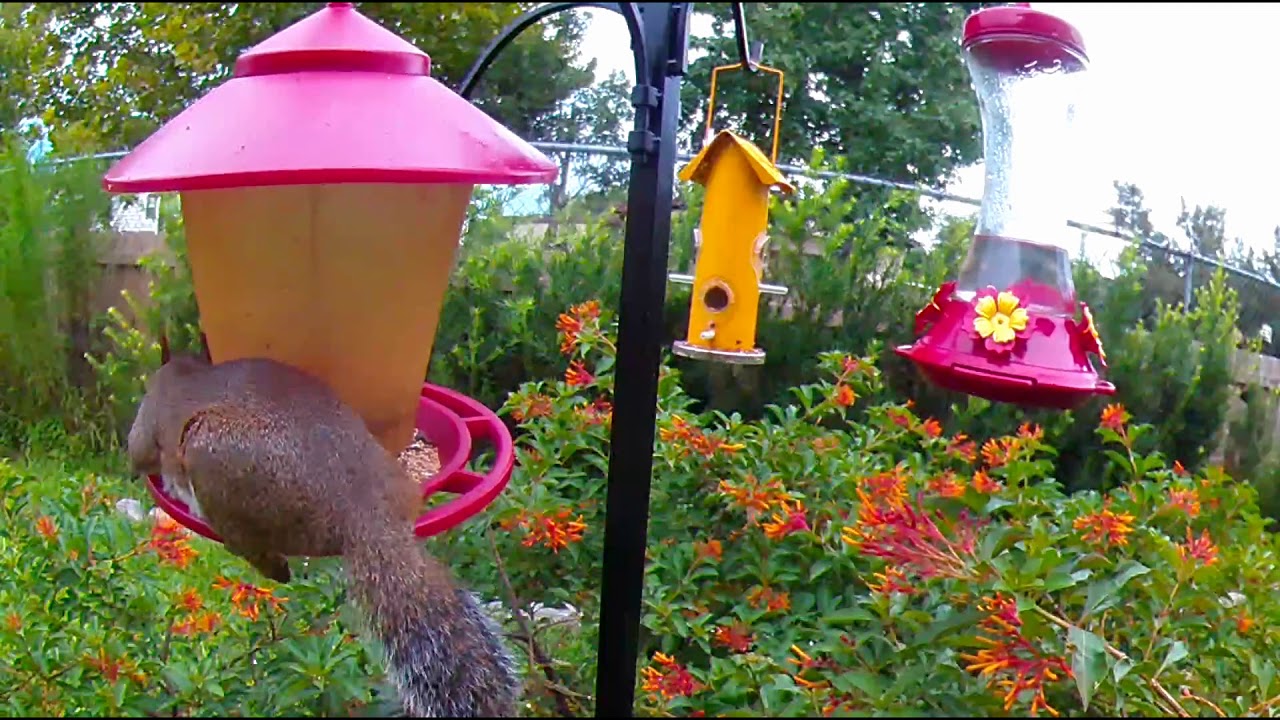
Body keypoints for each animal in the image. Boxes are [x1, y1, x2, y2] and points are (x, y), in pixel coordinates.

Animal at [127, 352, 521, 718]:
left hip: (211, 458)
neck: (184, 372)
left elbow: (139, 448)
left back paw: (266, 560)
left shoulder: (151, 420)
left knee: (254, 547)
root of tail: (364, 509)